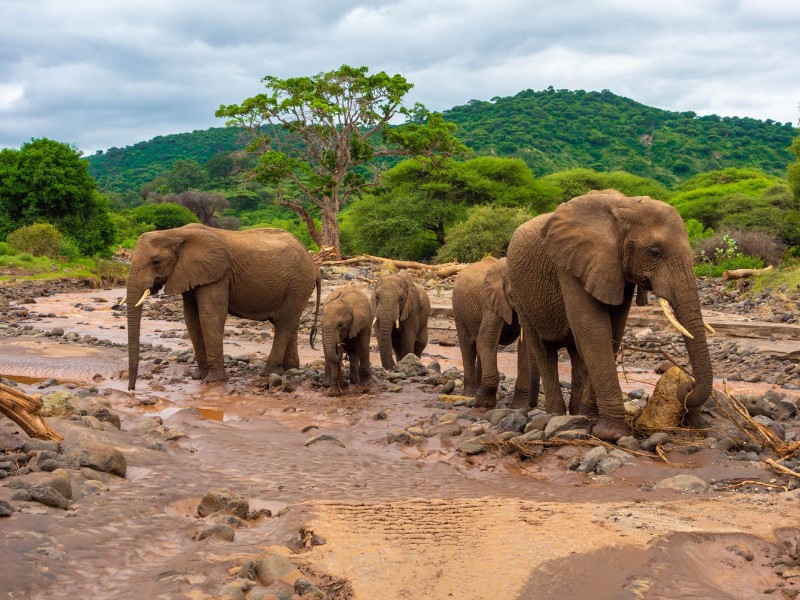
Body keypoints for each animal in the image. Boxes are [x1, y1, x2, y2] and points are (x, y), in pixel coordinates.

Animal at [125, 224, 321, 389]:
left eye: (156, 261)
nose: (132, 389)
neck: (174, 232)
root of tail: (313, 263)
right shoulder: (191, 274)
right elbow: (191, 319)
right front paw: (198, 376)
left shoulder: (218, 275)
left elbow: (211, 316)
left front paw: (214, 380)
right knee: (292, 323)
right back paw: (289, 370)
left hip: (298, 283)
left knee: (283, 324)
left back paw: (268, 373)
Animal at [452, 256, 534, 409]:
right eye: (513, 296)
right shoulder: (490, 303)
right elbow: (486, 342)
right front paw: (485, 403)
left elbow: (525, 348)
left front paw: (519, 407)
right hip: (458, 309)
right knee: (468, 347)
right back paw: (470, 395)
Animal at [507, 189, 713, 442]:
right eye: (654, 252)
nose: (687, 387)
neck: (625, 206)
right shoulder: (570, 265)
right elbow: (593, 331)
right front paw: (611, 434)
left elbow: (611, 332)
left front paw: (593, 421)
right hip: (520, 293)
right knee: (543, 350)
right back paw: (555, 415)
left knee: (576, 353)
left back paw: (577, 414)